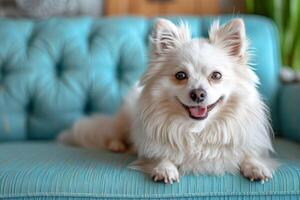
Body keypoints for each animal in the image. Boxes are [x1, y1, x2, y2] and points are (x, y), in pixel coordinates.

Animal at [58, 18, 276, 184]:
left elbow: (248, 155)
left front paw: (256, 167)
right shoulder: (150, 149)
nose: (198, 94)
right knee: (115, 134)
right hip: (124, 121)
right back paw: (117, 145)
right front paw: (165, 169)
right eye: (180, 75)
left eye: (216, 76)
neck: (197, 130)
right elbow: (161, 155)